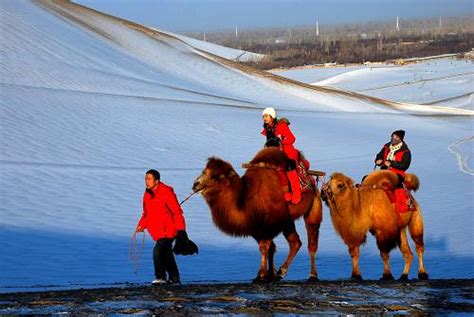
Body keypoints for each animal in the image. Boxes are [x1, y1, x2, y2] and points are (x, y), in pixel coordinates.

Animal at [193, 147, 322, 280]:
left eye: (216, 176)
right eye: (204, 171)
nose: (195, 184)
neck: (246, 200)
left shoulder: (271, 224)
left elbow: (265, 247)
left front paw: (261, 274)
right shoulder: (256, 226)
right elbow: (270, 248)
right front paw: (270, 274)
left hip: (313, 205)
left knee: (312, 240)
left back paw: (312, 274)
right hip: (287, 221)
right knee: (295, 242)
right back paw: (282, 271)